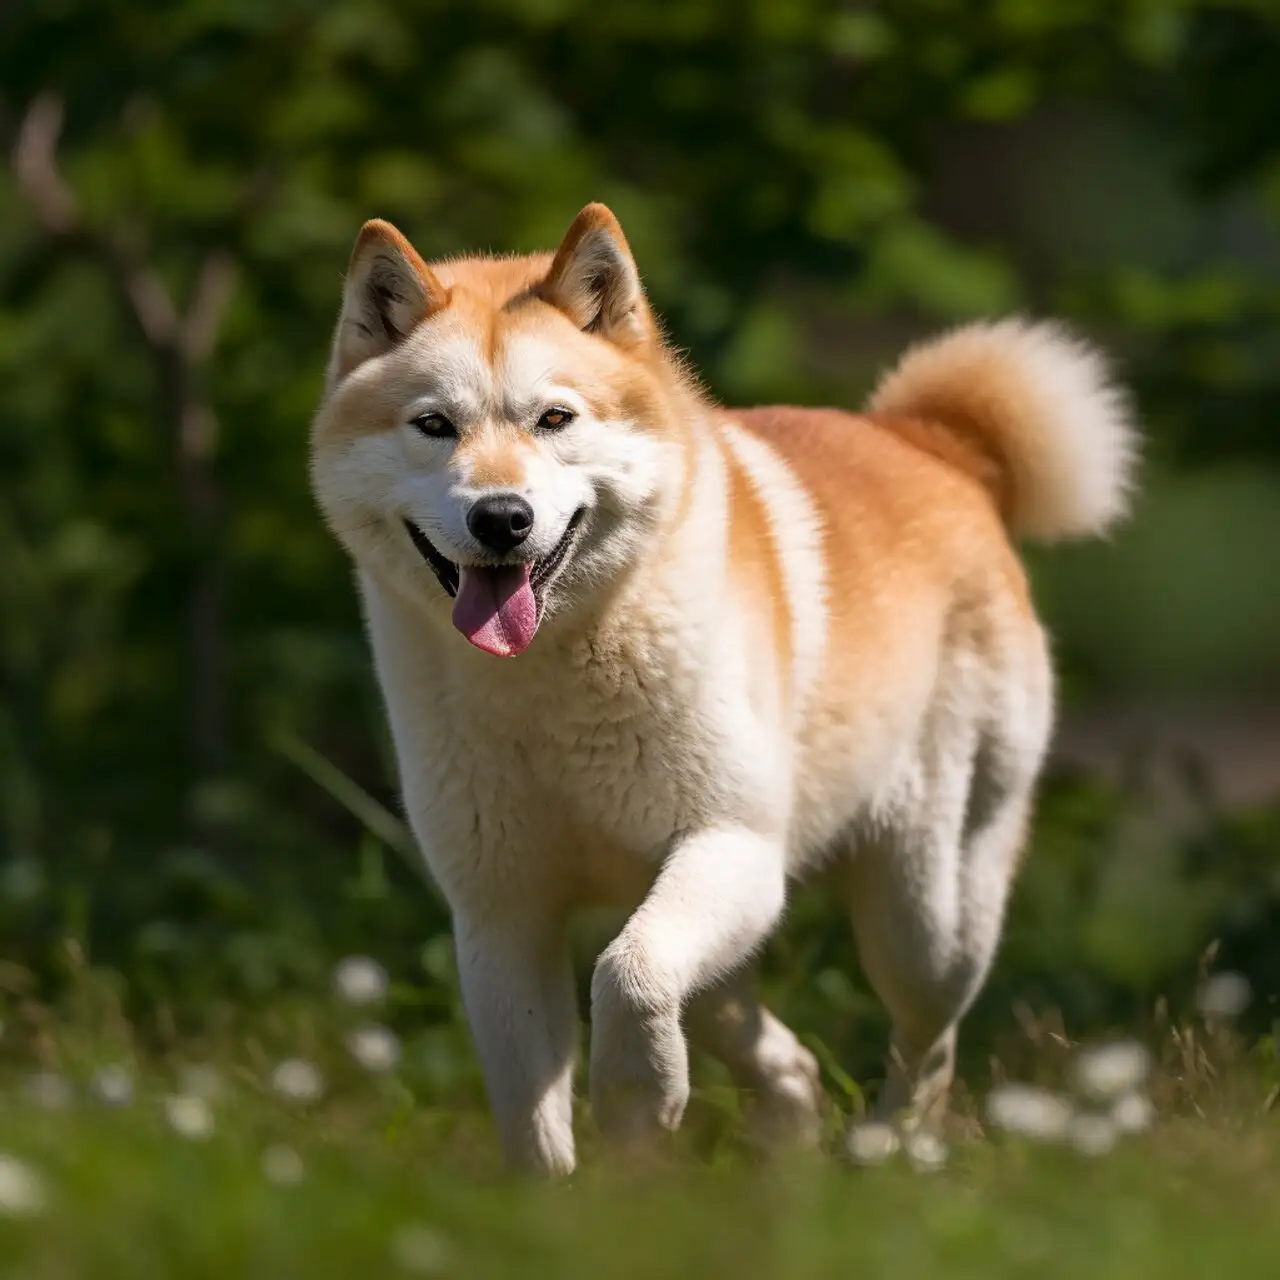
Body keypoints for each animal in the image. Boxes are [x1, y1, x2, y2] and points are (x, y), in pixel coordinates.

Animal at [307, 197, 1131, 1172]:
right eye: (433, 425)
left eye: (554, 419)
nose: (501, 518)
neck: (552, 680)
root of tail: (936, 445)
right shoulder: (501, 917)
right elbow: (535, 1123)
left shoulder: (732, 845)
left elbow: (628, 979)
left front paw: (637, 1103)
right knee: (778, 1051)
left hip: (921, 919)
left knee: (924, 1045)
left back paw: (890, 1155)